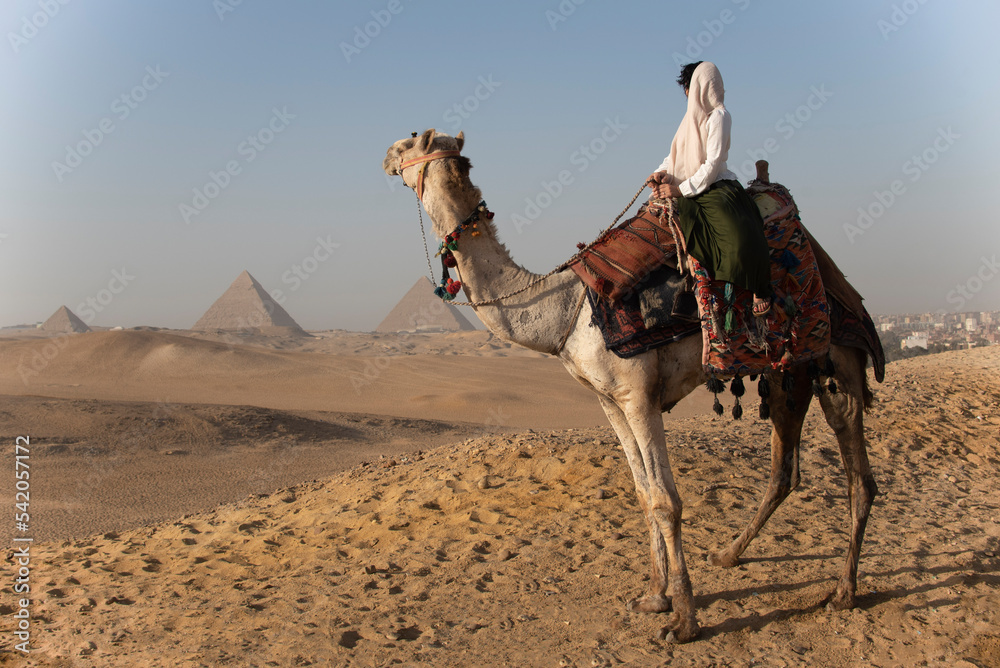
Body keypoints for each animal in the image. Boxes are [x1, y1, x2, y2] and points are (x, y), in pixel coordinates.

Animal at [382, 129, 879, 643]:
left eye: (410, 142)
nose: (386, 156)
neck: (562, 309)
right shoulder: (610, 402)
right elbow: (642, 492)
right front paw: (656, 596)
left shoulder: (639, 396)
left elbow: (665, 499)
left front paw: (684, 620)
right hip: (790, 370)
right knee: (786, 469)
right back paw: (729, 554)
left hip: (838, 357)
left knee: (858, 473)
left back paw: (843, 591)